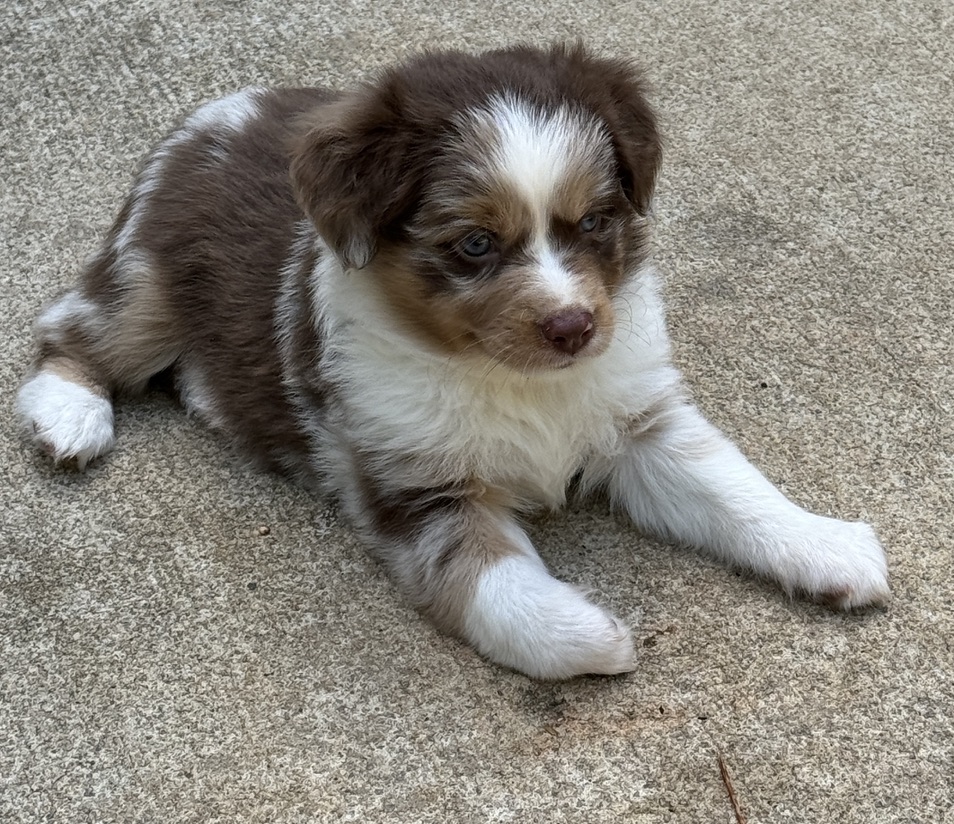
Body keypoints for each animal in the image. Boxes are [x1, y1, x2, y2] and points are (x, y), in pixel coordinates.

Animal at [16, 41, 892, 680]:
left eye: (594, 221)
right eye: (474, 244)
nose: (575, 327)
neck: (509, 377)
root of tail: (215, 114)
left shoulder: (640, 421)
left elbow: (735, 490)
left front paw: (828, 547)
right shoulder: (418, 488)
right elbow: (498, 587)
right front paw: (595, 633)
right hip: (147, 284)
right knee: (72, 328)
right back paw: (70, 416)